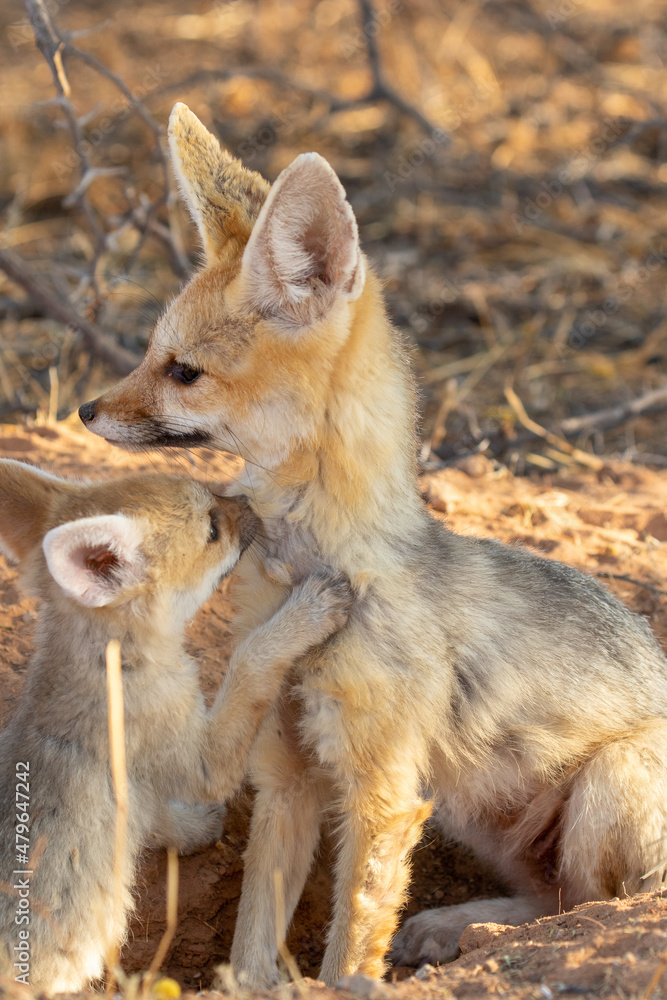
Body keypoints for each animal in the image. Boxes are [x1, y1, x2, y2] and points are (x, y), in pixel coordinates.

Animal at [0, 459, 350, 994]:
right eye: (212, 528)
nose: (246, 500)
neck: (115, 664)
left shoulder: (144, 788)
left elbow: (159, 821)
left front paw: (196, 828)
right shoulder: (203, 763)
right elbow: (252, 658)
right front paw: (306, 613)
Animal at [78, 102, 667, 986]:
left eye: (182, 372)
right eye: (151, 354)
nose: (85, 411)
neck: (309, 573)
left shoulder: (383, 791)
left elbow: (349, 947)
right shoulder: (285, 776)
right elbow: (254, 942)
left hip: (602, 784)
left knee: (594, 906)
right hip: (481, 810)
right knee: (554, 898)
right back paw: (458, 924)